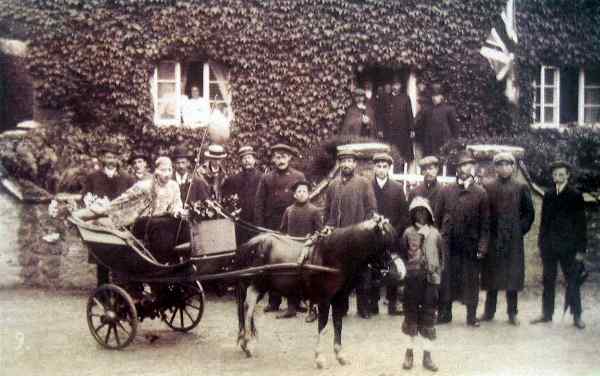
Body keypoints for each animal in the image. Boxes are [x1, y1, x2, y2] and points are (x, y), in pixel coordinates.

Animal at [236, 214, 398, 368]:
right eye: (383, 242)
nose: (389, 268)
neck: (333, 255)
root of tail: (251, 243)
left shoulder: (339, 298)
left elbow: (338, 324)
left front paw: (340, 355)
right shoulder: (324, 299)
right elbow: (323, 324)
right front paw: (319, 358)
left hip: (260, 286)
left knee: (247, 307)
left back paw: (246, 342)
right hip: (256, 283)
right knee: (248, 306)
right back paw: (247, 342)